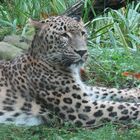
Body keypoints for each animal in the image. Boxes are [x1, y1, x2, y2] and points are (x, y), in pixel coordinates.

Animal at [0, 15, 140, 127]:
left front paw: (135, 92)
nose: (82, 52)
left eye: (83, 33)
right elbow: (122, 106)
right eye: (64, 35)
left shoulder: (83, 91)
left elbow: (105, 90)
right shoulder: (84, 108)